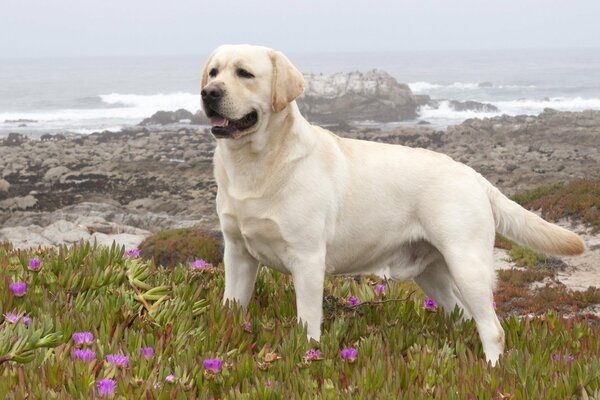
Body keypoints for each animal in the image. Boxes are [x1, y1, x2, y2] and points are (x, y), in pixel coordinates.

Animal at [199, 45, 584, 364]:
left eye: (245, 73)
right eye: (214, 72)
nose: (208, 93)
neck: (255, 165)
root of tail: (474, 176)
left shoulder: (307, 260)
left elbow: (307, 321)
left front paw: (308, 353)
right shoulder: (237, 254)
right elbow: (232, 305)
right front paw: (226, 335)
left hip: (468, 264)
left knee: (493, 328)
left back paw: (492, 370)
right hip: (432, 273)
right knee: (462, 315)